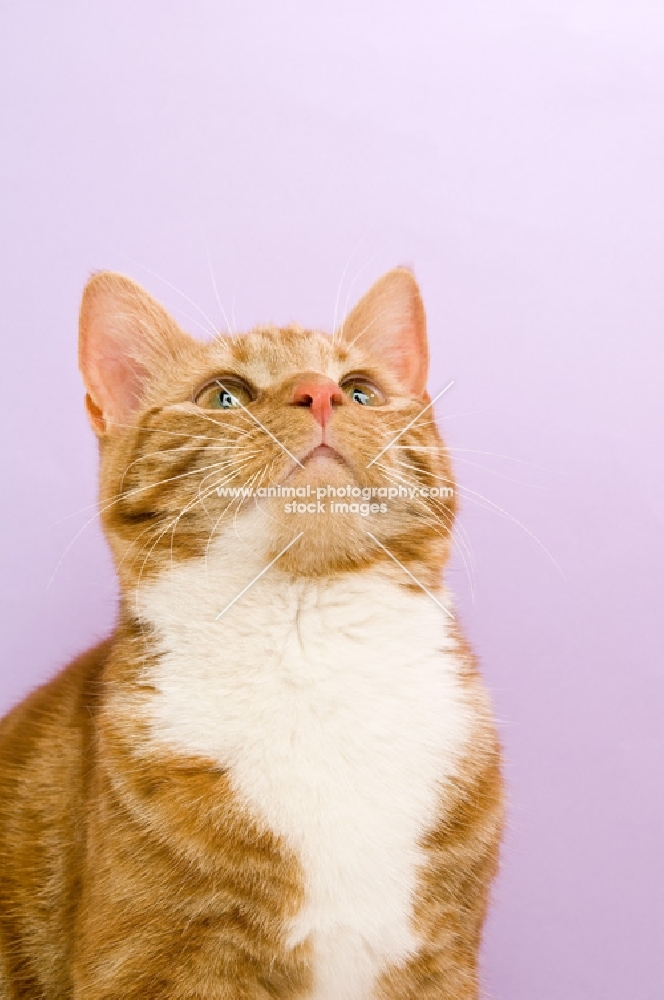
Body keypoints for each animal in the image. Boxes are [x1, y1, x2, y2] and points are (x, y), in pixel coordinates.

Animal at [0, 268, 504, 1000]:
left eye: (361, 389)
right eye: (225, 395)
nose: (320, 393)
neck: (308, 644)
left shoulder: (440, 959)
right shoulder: (159, 963)